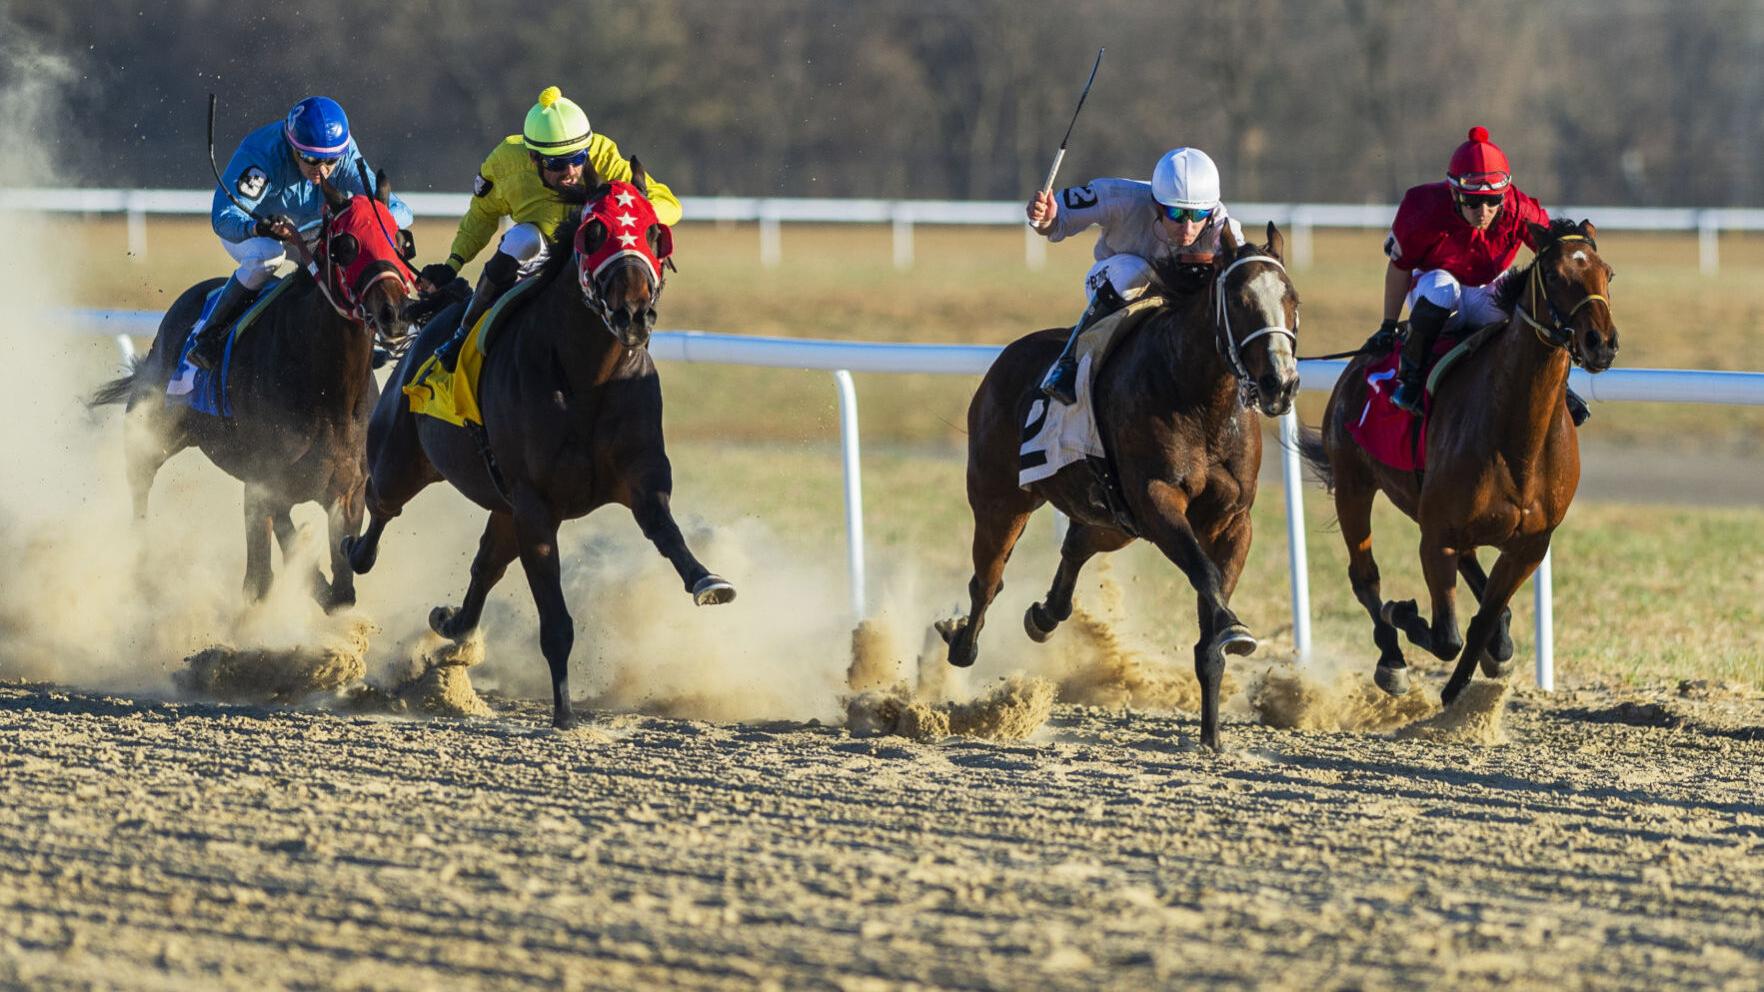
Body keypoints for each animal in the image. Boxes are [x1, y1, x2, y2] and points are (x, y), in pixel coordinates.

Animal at [89, 175, 415, 611]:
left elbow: (342, 591)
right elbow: (282, 562)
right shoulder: (266, 484)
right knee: (140, 484)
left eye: (398, 240)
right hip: (152, 431)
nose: (394, 313)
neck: (328, 393)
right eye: (346, 245)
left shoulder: (349, 492)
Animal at [342, 167, 734, 730]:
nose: (634, 314)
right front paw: (565, 714)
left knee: (485, 565)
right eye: (593, 233)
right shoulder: (536, 505)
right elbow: (556, 619)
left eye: (653, 231)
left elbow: (665, 530)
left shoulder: (640, 475)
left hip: (501, 505)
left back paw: (453, 624)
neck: (586, 377)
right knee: (379, 506)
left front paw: (708, 580)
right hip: (403, 458)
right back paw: (352, 556)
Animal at [938, 223, 1301, 750]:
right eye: (1238, 300)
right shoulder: (1157, 500)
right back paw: (962, 644)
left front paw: (1212, 735)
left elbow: (1211, 618)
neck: (1198, 401)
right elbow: (1206, 574)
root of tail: (1005, 358)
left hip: (1113, 519)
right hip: (1000, 498)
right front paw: (1234, 628)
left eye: (1291, 298)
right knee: (987, 577)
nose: (1280, 382)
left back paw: (1045, 614)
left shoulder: (1231, 520)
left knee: (1076, 545)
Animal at [1299, 219, 1617, 706]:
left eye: (1608, 273)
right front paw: (1405, 616)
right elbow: (1445, 635)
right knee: (1364, 576)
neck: (1519, 442)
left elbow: (1483, 618)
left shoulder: (1530, 544)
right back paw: (1392, 659)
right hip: (1355, 484)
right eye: (1556, 274)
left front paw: (1472, 674)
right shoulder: (1436, 538)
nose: (1601, 344)